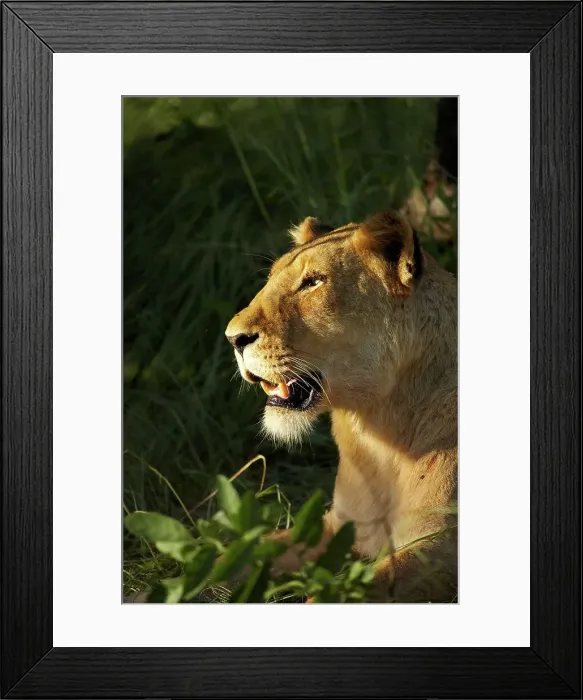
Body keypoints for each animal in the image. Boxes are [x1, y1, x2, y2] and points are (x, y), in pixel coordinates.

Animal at [225, 210, 458, 602]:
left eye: (312, 282)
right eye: (270, 279)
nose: (233, 338)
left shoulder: (440, 547)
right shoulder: (337, 525)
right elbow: (240, 555)